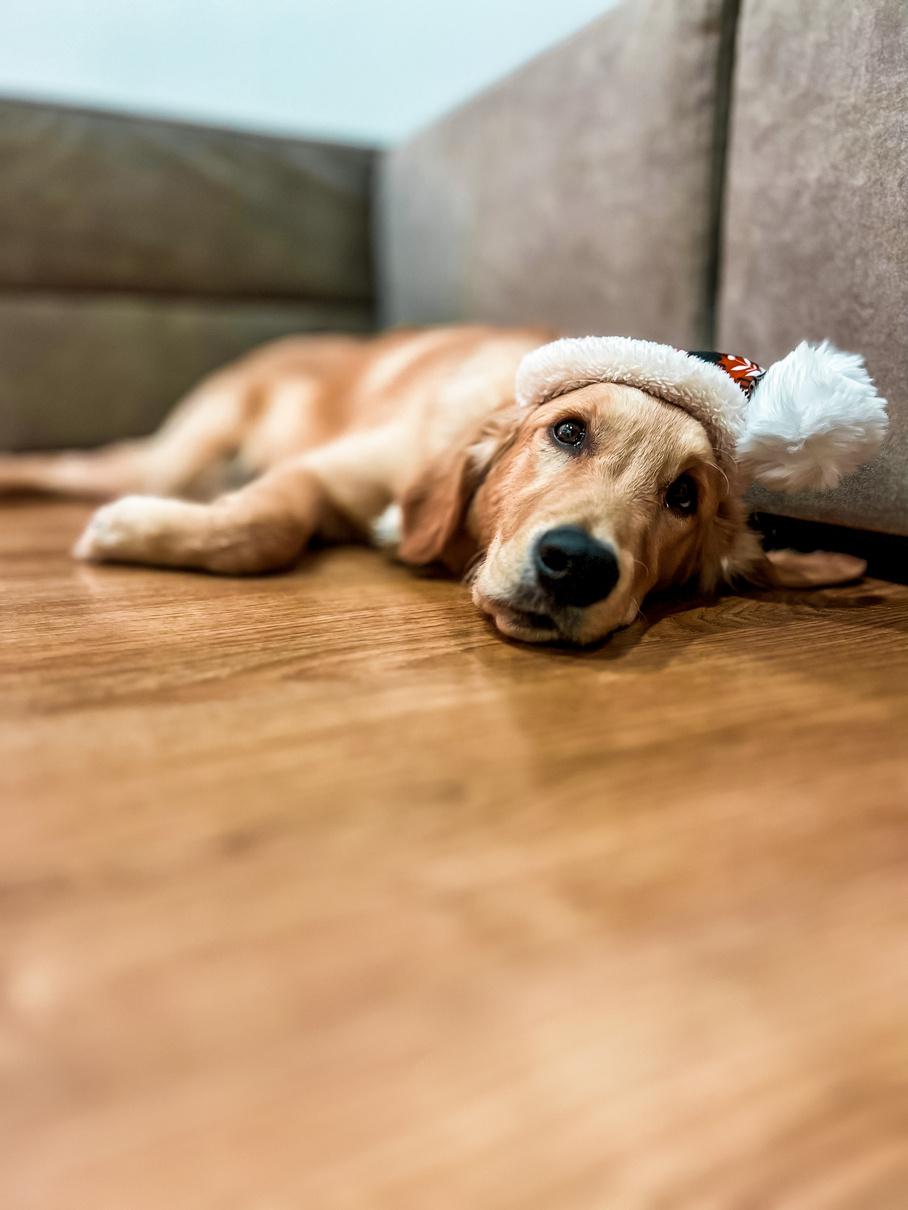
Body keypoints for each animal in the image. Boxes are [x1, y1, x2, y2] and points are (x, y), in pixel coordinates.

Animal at [0, 324, 884, 645]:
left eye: (685, 497)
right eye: (568, 430)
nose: (576, 565)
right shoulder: (326, 470)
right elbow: (268, 527)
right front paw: (130, 529)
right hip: (177, 454)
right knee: (65, 464)